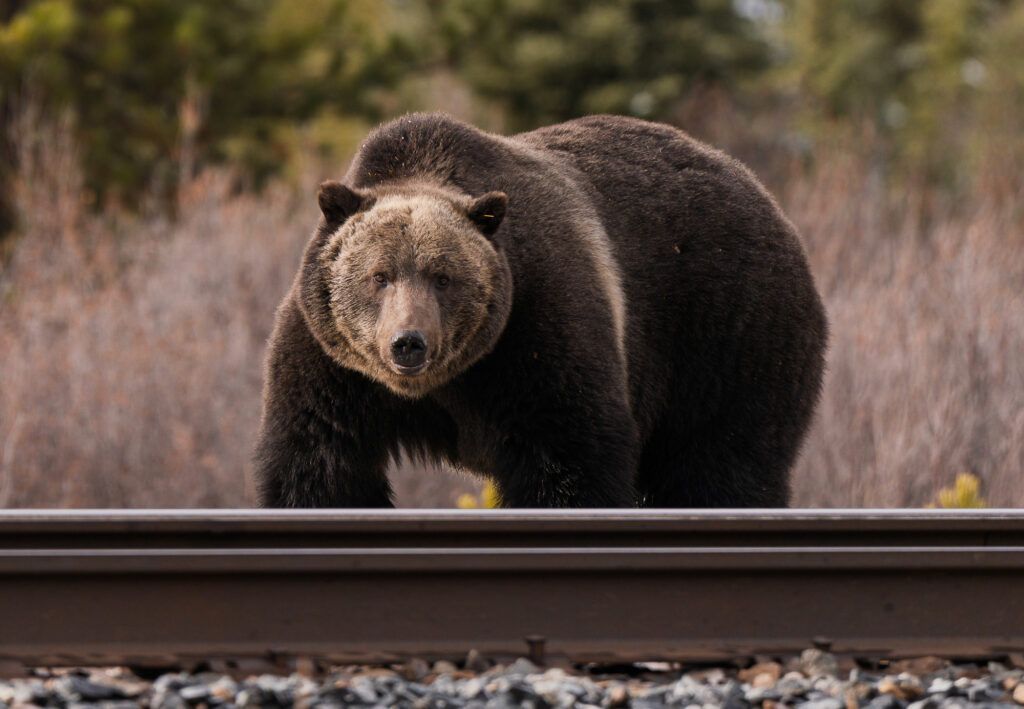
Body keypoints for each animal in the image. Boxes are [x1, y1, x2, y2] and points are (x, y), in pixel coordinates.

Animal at [254, 113, 828, 508]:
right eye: (379, 276)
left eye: (443, 277)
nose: (408, 343)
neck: (443, 386)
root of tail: (762, 194)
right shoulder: (333, 364)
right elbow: (319, 462)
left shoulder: (536, 327)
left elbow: (569, 449)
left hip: (726, 330)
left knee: (723, 458)